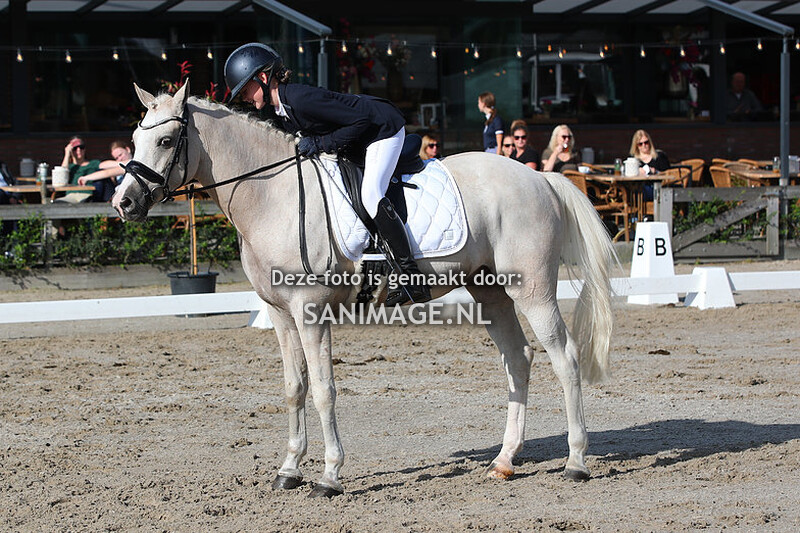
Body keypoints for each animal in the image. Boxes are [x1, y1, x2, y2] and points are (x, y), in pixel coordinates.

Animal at [112, 80, 616, 498]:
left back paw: (576, 462)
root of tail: (538, 176)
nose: (124, 203)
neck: (272, 195)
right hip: (488, 290)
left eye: (165, 141)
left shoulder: (310, 311)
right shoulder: (280, 315)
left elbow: (323, 389)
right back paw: (504, 461)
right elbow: (294, 387)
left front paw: (330, 476)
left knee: (564, 357)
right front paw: (289, 470)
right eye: (135, 140)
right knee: (518, 358)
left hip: (531, 289)